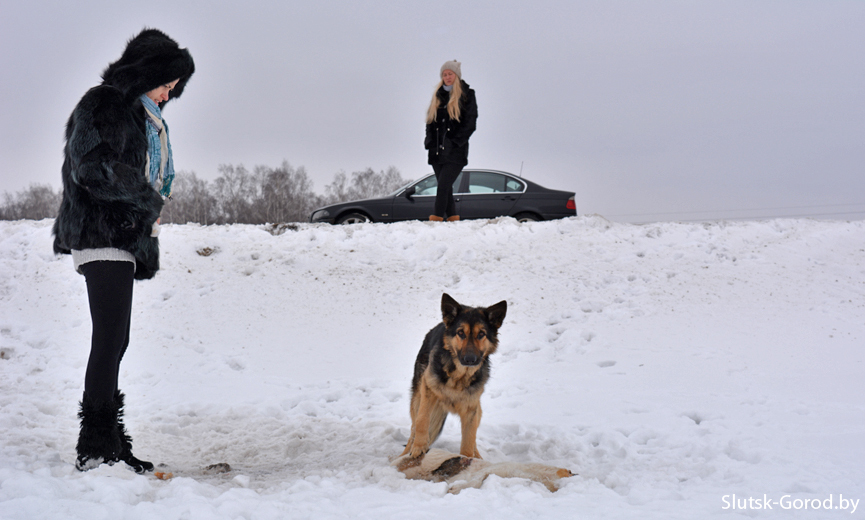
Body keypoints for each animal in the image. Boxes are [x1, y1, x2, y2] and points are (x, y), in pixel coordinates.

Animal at [404, 292, 506, 460]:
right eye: (460, 333)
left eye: (481, 334)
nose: (470, 359)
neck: (459, 377)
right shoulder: (428, 392)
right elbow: (422, 421)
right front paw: (418, 447)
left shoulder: (471, 410)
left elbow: (469, 440)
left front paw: (467, 460)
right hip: (417, 399)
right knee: (413, 427)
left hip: (477, 410)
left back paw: (478, 457)